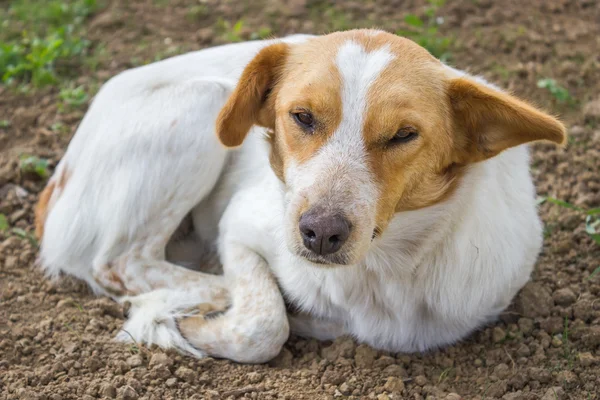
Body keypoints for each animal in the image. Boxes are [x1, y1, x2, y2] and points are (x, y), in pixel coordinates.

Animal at [34, 29, 568, 364]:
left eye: (403, 135)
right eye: (303, 117)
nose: (320, 233)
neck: (378, 273)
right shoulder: (239, 226)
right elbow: (265, 325)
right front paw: (193, 326)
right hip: (203, 103)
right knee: (119, 263)